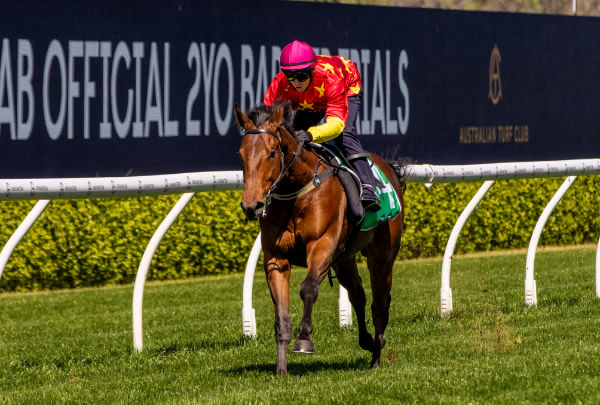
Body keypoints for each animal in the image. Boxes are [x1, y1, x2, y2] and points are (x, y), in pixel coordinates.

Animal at [234, 100, 404, 372]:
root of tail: (389, 168)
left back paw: (376, 356)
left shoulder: (322, 245)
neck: (297, 192)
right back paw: (367, 341)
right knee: (358, 294)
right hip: (344, 258)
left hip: (382, 256)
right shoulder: (276, 258)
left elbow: (309, 288)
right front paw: (281, 369)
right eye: (241, 154)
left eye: (271, 153)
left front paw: (304, 340)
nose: (252, 205)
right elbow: (281, 316)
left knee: (380, 302)